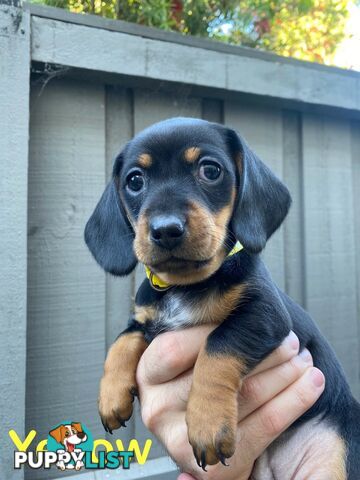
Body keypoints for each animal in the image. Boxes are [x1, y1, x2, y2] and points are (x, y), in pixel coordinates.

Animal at [85, 116, 360, 476]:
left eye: (211, 170)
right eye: (134, 180)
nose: (165, 229)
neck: (186, 284)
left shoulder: (264, 314)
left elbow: (217, 346)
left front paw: (207, 423)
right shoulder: (146, 320)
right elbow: (121, 341)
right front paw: (110, 396)